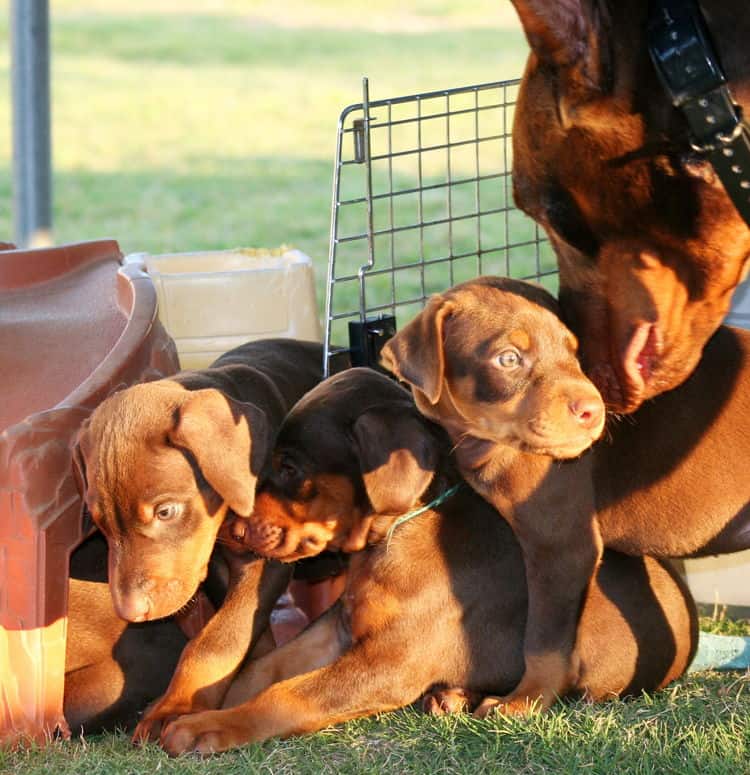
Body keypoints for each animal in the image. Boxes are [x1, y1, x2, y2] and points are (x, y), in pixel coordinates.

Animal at [153, 370, 700, 756]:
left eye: (290, 467)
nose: (232, 529)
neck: (400, 530)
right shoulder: (339, 627)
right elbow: (266, 667)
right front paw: (187, 706)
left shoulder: (388, 663)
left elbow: (287, 695)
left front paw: (206, 728)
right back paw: (450, 698)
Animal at [384, 276, 750, 720]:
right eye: (508, 358)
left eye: (573, 353)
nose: (594, 411)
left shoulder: (560, 545)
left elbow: (543, 639)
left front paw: (525, 699)